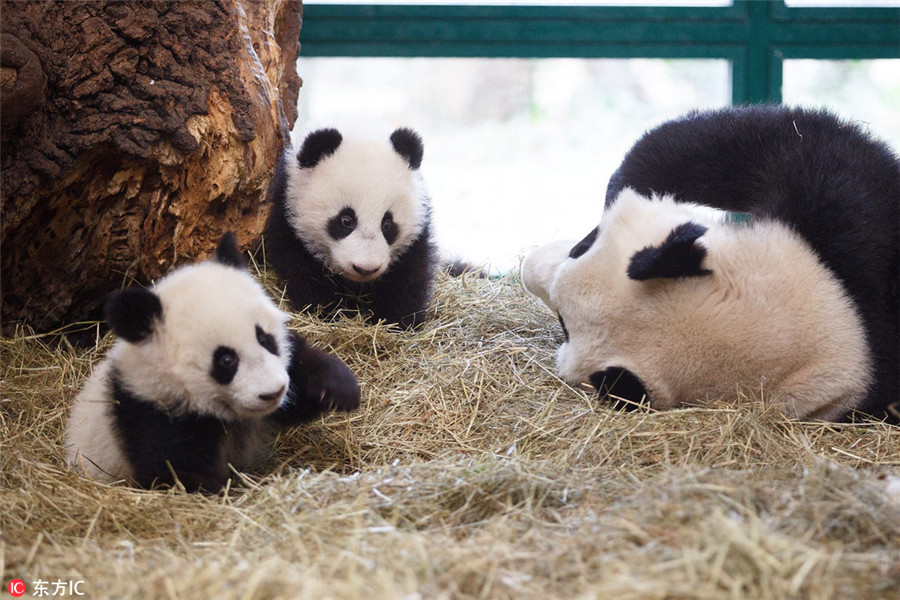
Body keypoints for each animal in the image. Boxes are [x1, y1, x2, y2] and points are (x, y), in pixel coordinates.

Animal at [65, 232, 360, 490]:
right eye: (226, 360)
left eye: (264, 339)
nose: (273, 393)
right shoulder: (148, 412)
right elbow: (176, 470)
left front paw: (336, 387)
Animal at [264, 127, 440, 330]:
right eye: (346, 220)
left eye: (387, 224)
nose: (366, 269)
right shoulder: (288, 213)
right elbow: (303, 270)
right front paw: (328, 311)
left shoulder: (417, 231)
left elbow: (408, 277)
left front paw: (395, 321)